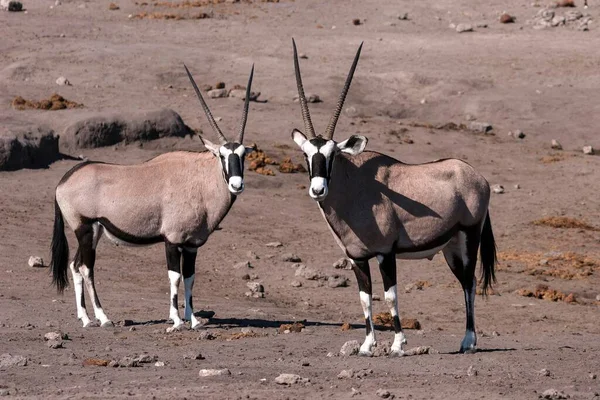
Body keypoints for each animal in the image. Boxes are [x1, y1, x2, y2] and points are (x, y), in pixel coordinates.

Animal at [51, 64, 255, 330]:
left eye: (243, 155)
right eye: (221, 155)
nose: (236, 184)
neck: (198, 179)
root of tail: (64, 180)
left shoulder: (191, 245)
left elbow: (189, 278)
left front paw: (193, 319)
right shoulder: (172, 240)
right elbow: (175, 277)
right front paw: (176, 320)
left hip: (93, 232)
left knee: (75, 266)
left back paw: (85, 318)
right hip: (84, 229)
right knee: (86, 268)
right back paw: (103, 318)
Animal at [290, 39, 496, 354]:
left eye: (333, 154)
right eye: (306, 155)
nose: (318, 190)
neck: (355, 187)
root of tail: (478, 177)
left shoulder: (385, 253)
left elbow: (390, 296)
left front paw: (398, 344)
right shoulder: (356, 258)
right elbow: (365, 298)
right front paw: (366, 345)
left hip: (470, 236)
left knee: (470, 283)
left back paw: (468, 342)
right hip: (450, 246)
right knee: (466, 280)